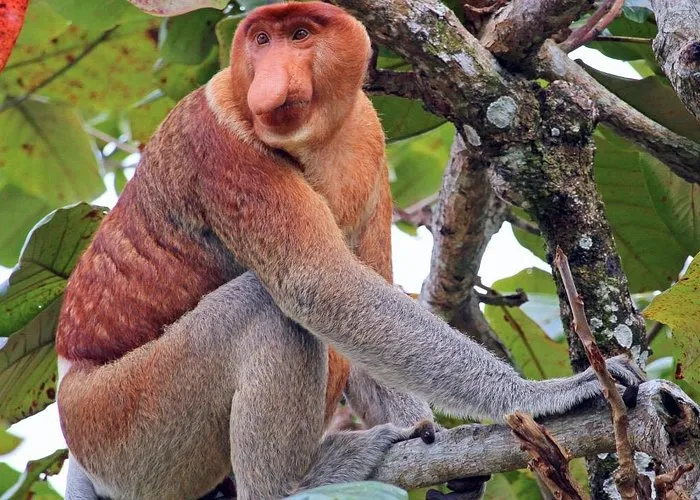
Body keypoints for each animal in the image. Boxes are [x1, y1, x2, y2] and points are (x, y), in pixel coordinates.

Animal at [54, 2, 644, 499]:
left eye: (300, 35)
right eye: (262, 40)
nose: (269, 83)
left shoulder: (366, 134)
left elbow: (366, 285)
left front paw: (426, 434)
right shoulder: (222, 145)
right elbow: (322, 284)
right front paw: (549, 395)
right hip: (124, 425)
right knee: (264, 308)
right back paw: (292, 483)